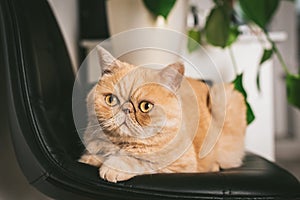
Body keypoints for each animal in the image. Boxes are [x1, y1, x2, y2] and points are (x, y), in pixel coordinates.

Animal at [79, 46, 246, 183]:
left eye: (145, 106)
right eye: (111, 99)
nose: (126, 109)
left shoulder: (181, 165)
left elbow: (140, 161)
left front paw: (113, 167)